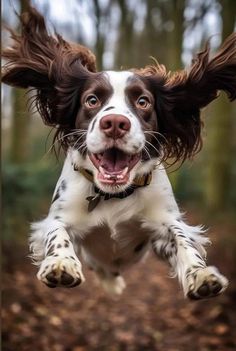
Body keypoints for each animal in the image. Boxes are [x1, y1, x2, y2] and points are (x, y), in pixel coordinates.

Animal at [2, 7, 236, 300]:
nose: (114, 123)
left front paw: (200, 274)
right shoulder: (59, 215)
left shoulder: (162, 224)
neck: (112, 196)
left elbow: (183, 238)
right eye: (92, 100)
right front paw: (60, 262)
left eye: (143, 101)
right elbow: (57, 231)